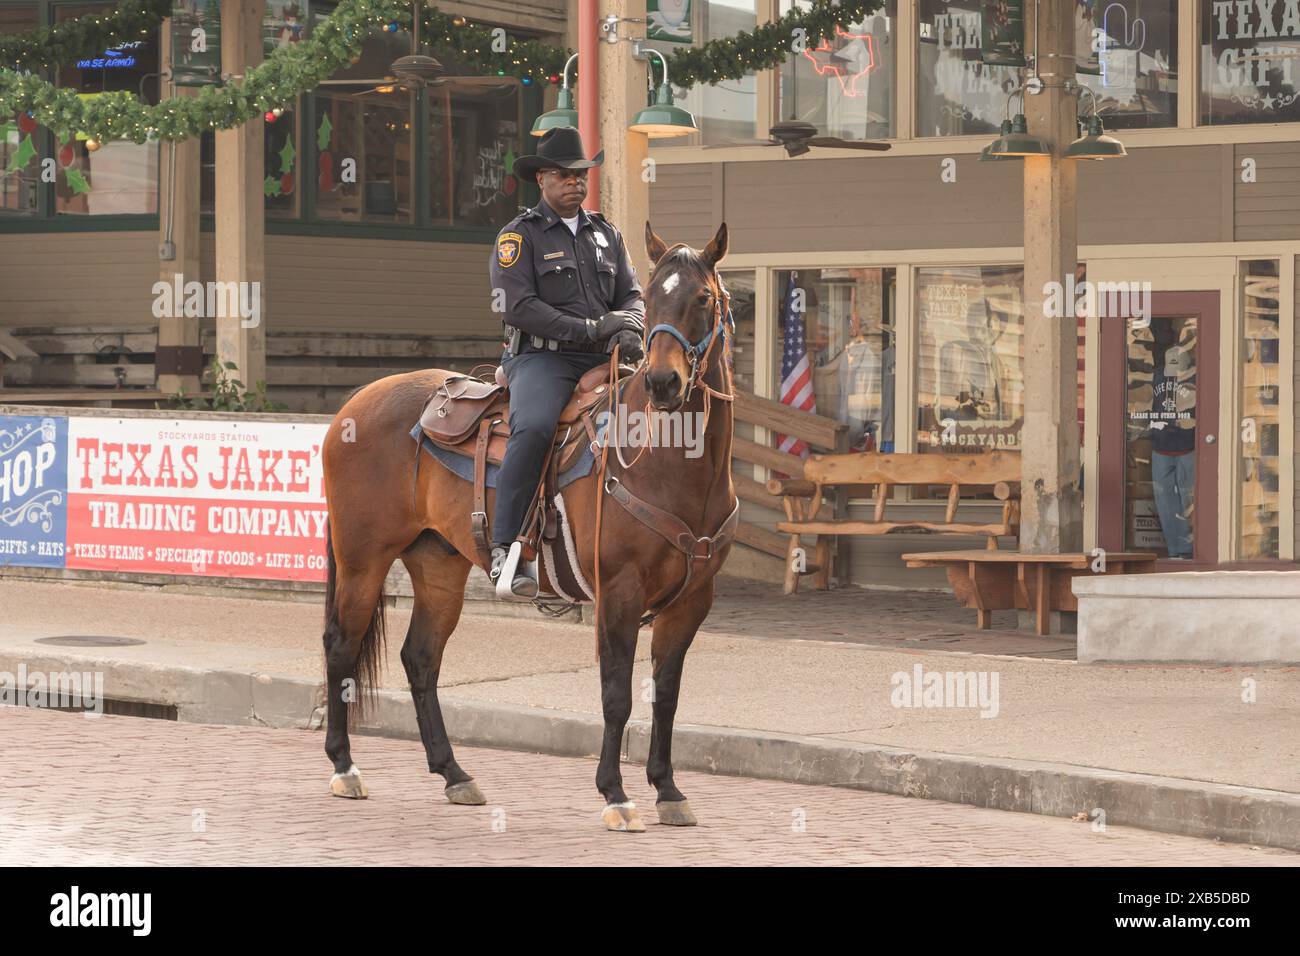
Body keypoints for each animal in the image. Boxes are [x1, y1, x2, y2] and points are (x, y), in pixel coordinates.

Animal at [319, 222, 738, 832]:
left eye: (703, 299)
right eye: (654, 299)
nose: (663, 382)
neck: (666, 463)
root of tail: (354, 404)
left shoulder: (691, 600)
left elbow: (665, 694)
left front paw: (667, 790)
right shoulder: (619, 591)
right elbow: (617, 694)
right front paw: (616, 794)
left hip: (437, 566)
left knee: (420, 658)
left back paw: (454, 774)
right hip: (362, 559)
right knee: (341, 648)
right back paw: (344, 767)